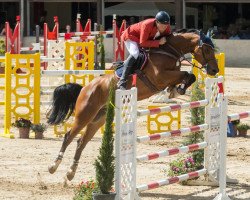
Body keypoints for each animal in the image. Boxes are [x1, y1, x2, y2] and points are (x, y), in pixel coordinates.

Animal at [47, 30, 219, 181]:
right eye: (207, 50)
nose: (214, 70)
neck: (168, 50)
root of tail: (85, 88)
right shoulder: (160, 77)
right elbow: (187, 74)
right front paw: (178, 89)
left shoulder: (169, 76)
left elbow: (189, 76)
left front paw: (176, 90)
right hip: (84, 115)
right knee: (69, 136)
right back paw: (54, 166)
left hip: (98, 119)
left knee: (81, 141)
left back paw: (70, 173)